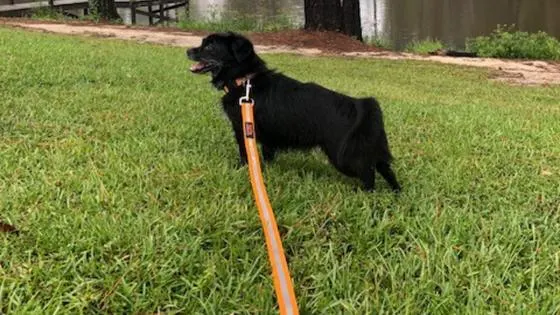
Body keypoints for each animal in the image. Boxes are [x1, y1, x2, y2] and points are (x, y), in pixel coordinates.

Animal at [188, 32, 402, 191]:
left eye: (210, 47)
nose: (188, 50)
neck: (245, 80)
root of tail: (359, 105)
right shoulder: (267, 138)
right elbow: (268, 154)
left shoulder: (242, 129)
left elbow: (244, 153)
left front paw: (242, 170)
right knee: (384, 168)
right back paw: (396, 193)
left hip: (343, 157)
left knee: (369, 172)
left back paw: (366, 194)